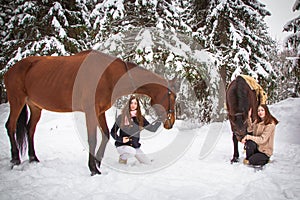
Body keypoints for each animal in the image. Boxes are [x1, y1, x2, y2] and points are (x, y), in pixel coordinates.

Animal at [4, 50, 176, 175]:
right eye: (173, 96)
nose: (171, 121)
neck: (108, 75)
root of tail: (9, 70)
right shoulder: (90, 112)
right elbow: (92, 139)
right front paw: (93, 169)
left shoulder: (99, 112)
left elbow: (106, 134)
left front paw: (98, 162)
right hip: (17, 101)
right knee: (10, 126)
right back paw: (15, 160)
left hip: (35, 107)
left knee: (30, 130)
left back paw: (33, 158)